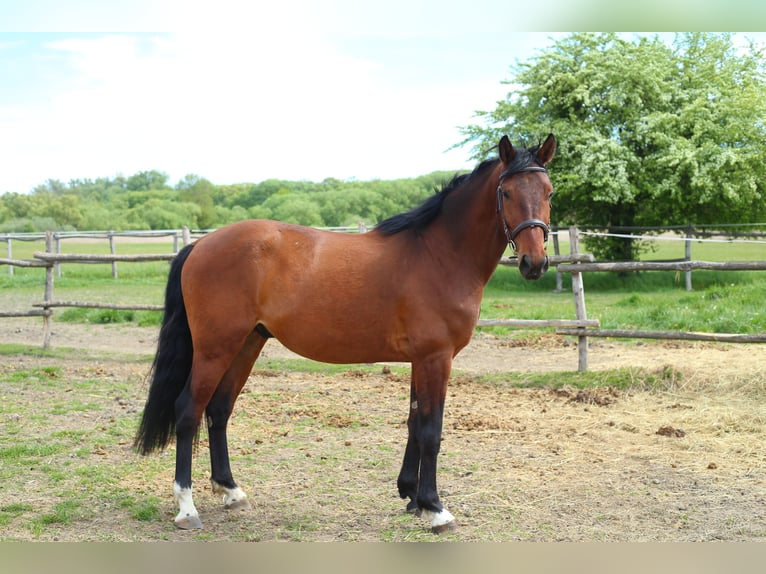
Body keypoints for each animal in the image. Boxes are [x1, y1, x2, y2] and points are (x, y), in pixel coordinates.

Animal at [134, 134, 556, 533]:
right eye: (506, 192)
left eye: (549, 192)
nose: (534, 263)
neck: (438, 254)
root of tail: (201, 244)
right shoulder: (436, 358)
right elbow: (431, 432)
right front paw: (436, 509)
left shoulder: (421, 360)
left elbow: (414, 424)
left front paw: (411, 497)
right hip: (214, 349)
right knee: (188, 411)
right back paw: (187, 508)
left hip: (247, 343)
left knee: (219, 410)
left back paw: (232, 491)